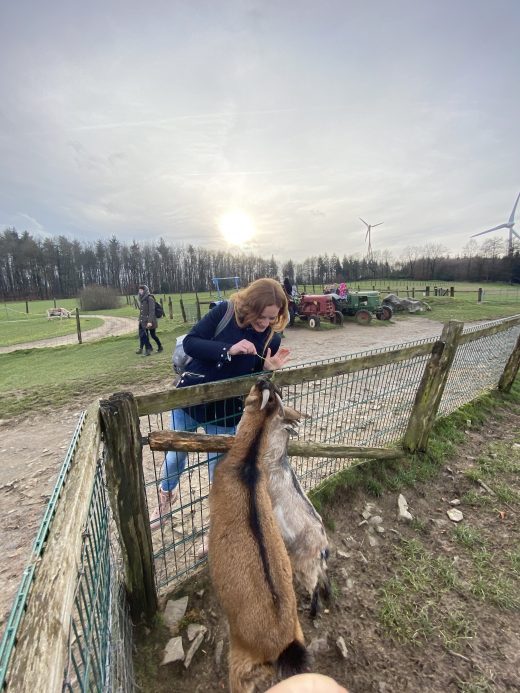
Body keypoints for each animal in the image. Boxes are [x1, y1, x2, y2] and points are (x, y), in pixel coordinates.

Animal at [209, 378, 308, 692]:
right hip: (299, 629)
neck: (247, 465)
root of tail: (283, 646)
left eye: (253, 393)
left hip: (241, 658)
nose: (262, 378)